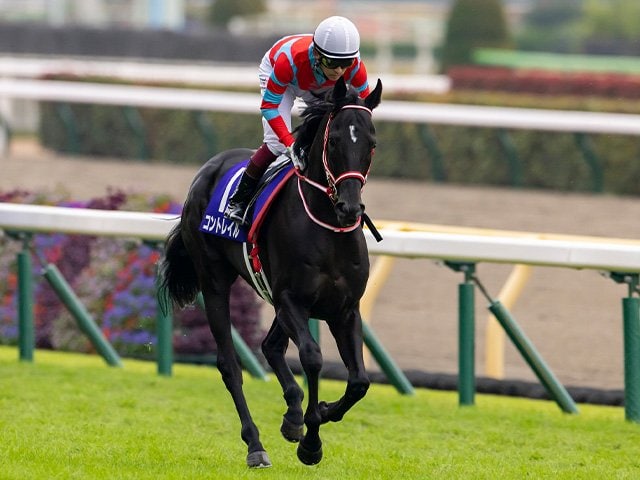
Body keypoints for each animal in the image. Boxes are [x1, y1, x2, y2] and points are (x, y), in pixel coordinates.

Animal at [161, 77, 382, 468]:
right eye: (335, 141)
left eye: (371, 143)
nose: (350, 208)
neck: (327, 228)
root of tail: (207, 170)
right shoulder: (292, 300)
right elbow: (312, 358)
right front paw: (311, 442)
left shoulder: (344, 309)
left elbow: (359, 381)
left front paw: (317, 414)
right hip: (214, 281)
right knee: (229, 365)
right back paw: (256, 445)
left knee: (270, 345)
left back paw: (292, 415)